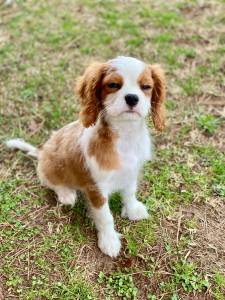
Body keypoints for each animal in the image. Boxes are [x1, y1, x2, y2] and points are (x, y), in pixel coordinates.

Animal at [6, 56, 166, 258]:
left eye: (146, 86)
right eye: (113, 85)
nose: (132, 97)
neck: (125, 134)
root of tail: (41, 153)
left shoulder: (131, 172)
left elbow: (129, 192)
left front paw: (132, 209)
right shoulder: (96, 188)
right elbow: (105, 216)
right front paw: (109, 241)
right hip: (51, 168)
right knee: (50, 181)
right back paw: (66, 194)